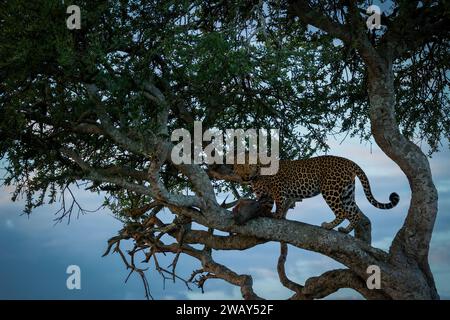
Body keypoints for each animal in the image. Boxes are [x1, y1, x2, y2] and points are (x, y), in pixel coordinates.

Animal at [234, 155, 400, 232]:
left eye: (250, 165)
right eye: (240, 166)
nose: (245, 175)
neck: (256, 177)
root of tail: (349, 161)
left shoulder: (278, 187)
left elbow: (280, 203)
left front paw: (278, 215)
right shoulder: (264, 195)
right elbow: (266, 205)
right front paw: (267, 213)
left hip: (330, 190)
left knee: (342, 212)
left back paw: (328, 226)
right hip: (347, 192)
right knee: (354, 213)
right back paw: (345, 231)